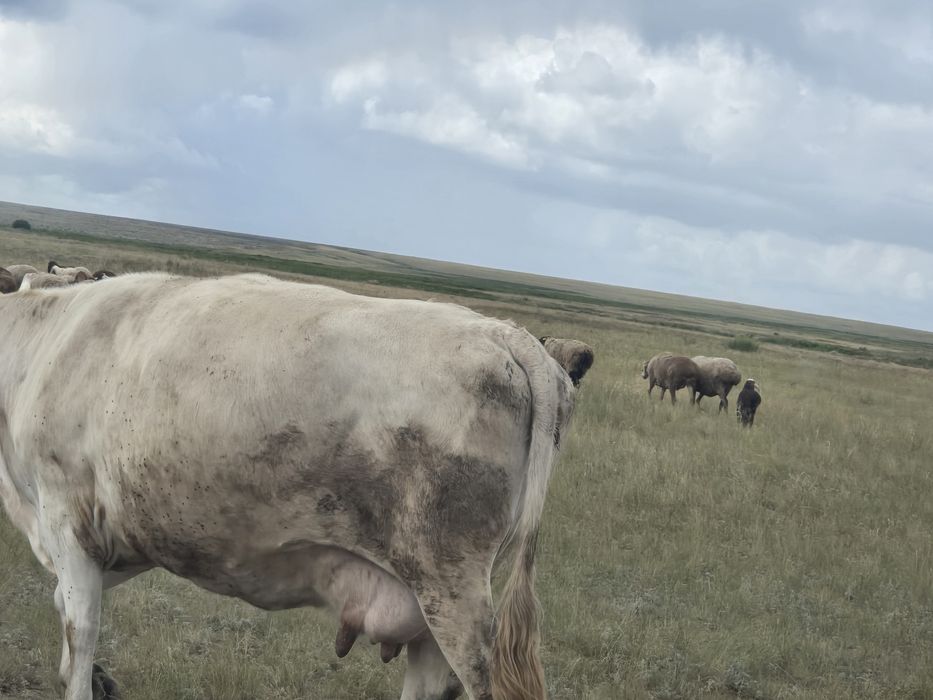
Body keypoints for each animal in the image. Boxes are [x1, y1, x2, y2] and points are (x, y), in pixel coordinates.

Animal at [0, 273, 577, 700]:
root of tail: (505, 334)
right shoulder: (120, 535)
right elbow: (65, 612)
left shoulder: (66, 517)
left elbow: (80, 632)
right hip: (440, 601)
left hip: (453, 591)